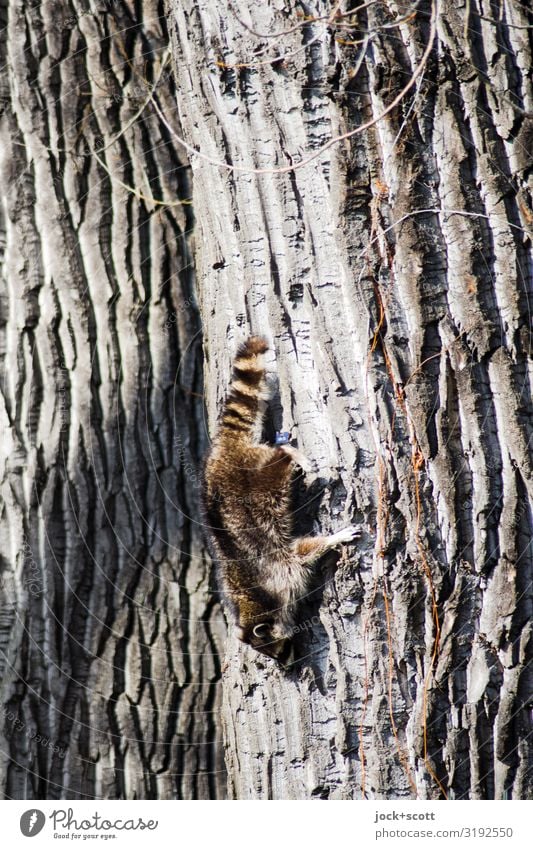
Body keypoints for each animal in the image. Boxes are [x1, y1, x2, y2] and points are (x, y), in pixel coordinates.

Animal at [202, 334, 360, 664]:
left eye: (280, 649)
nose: (287, 667)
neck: (255, 600)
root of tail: (225, 449)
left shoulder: (280, 568)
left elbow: (304, 551)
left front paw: (333, 538)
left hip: (254, 481)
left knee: (276, 468)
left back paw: (288, 453)